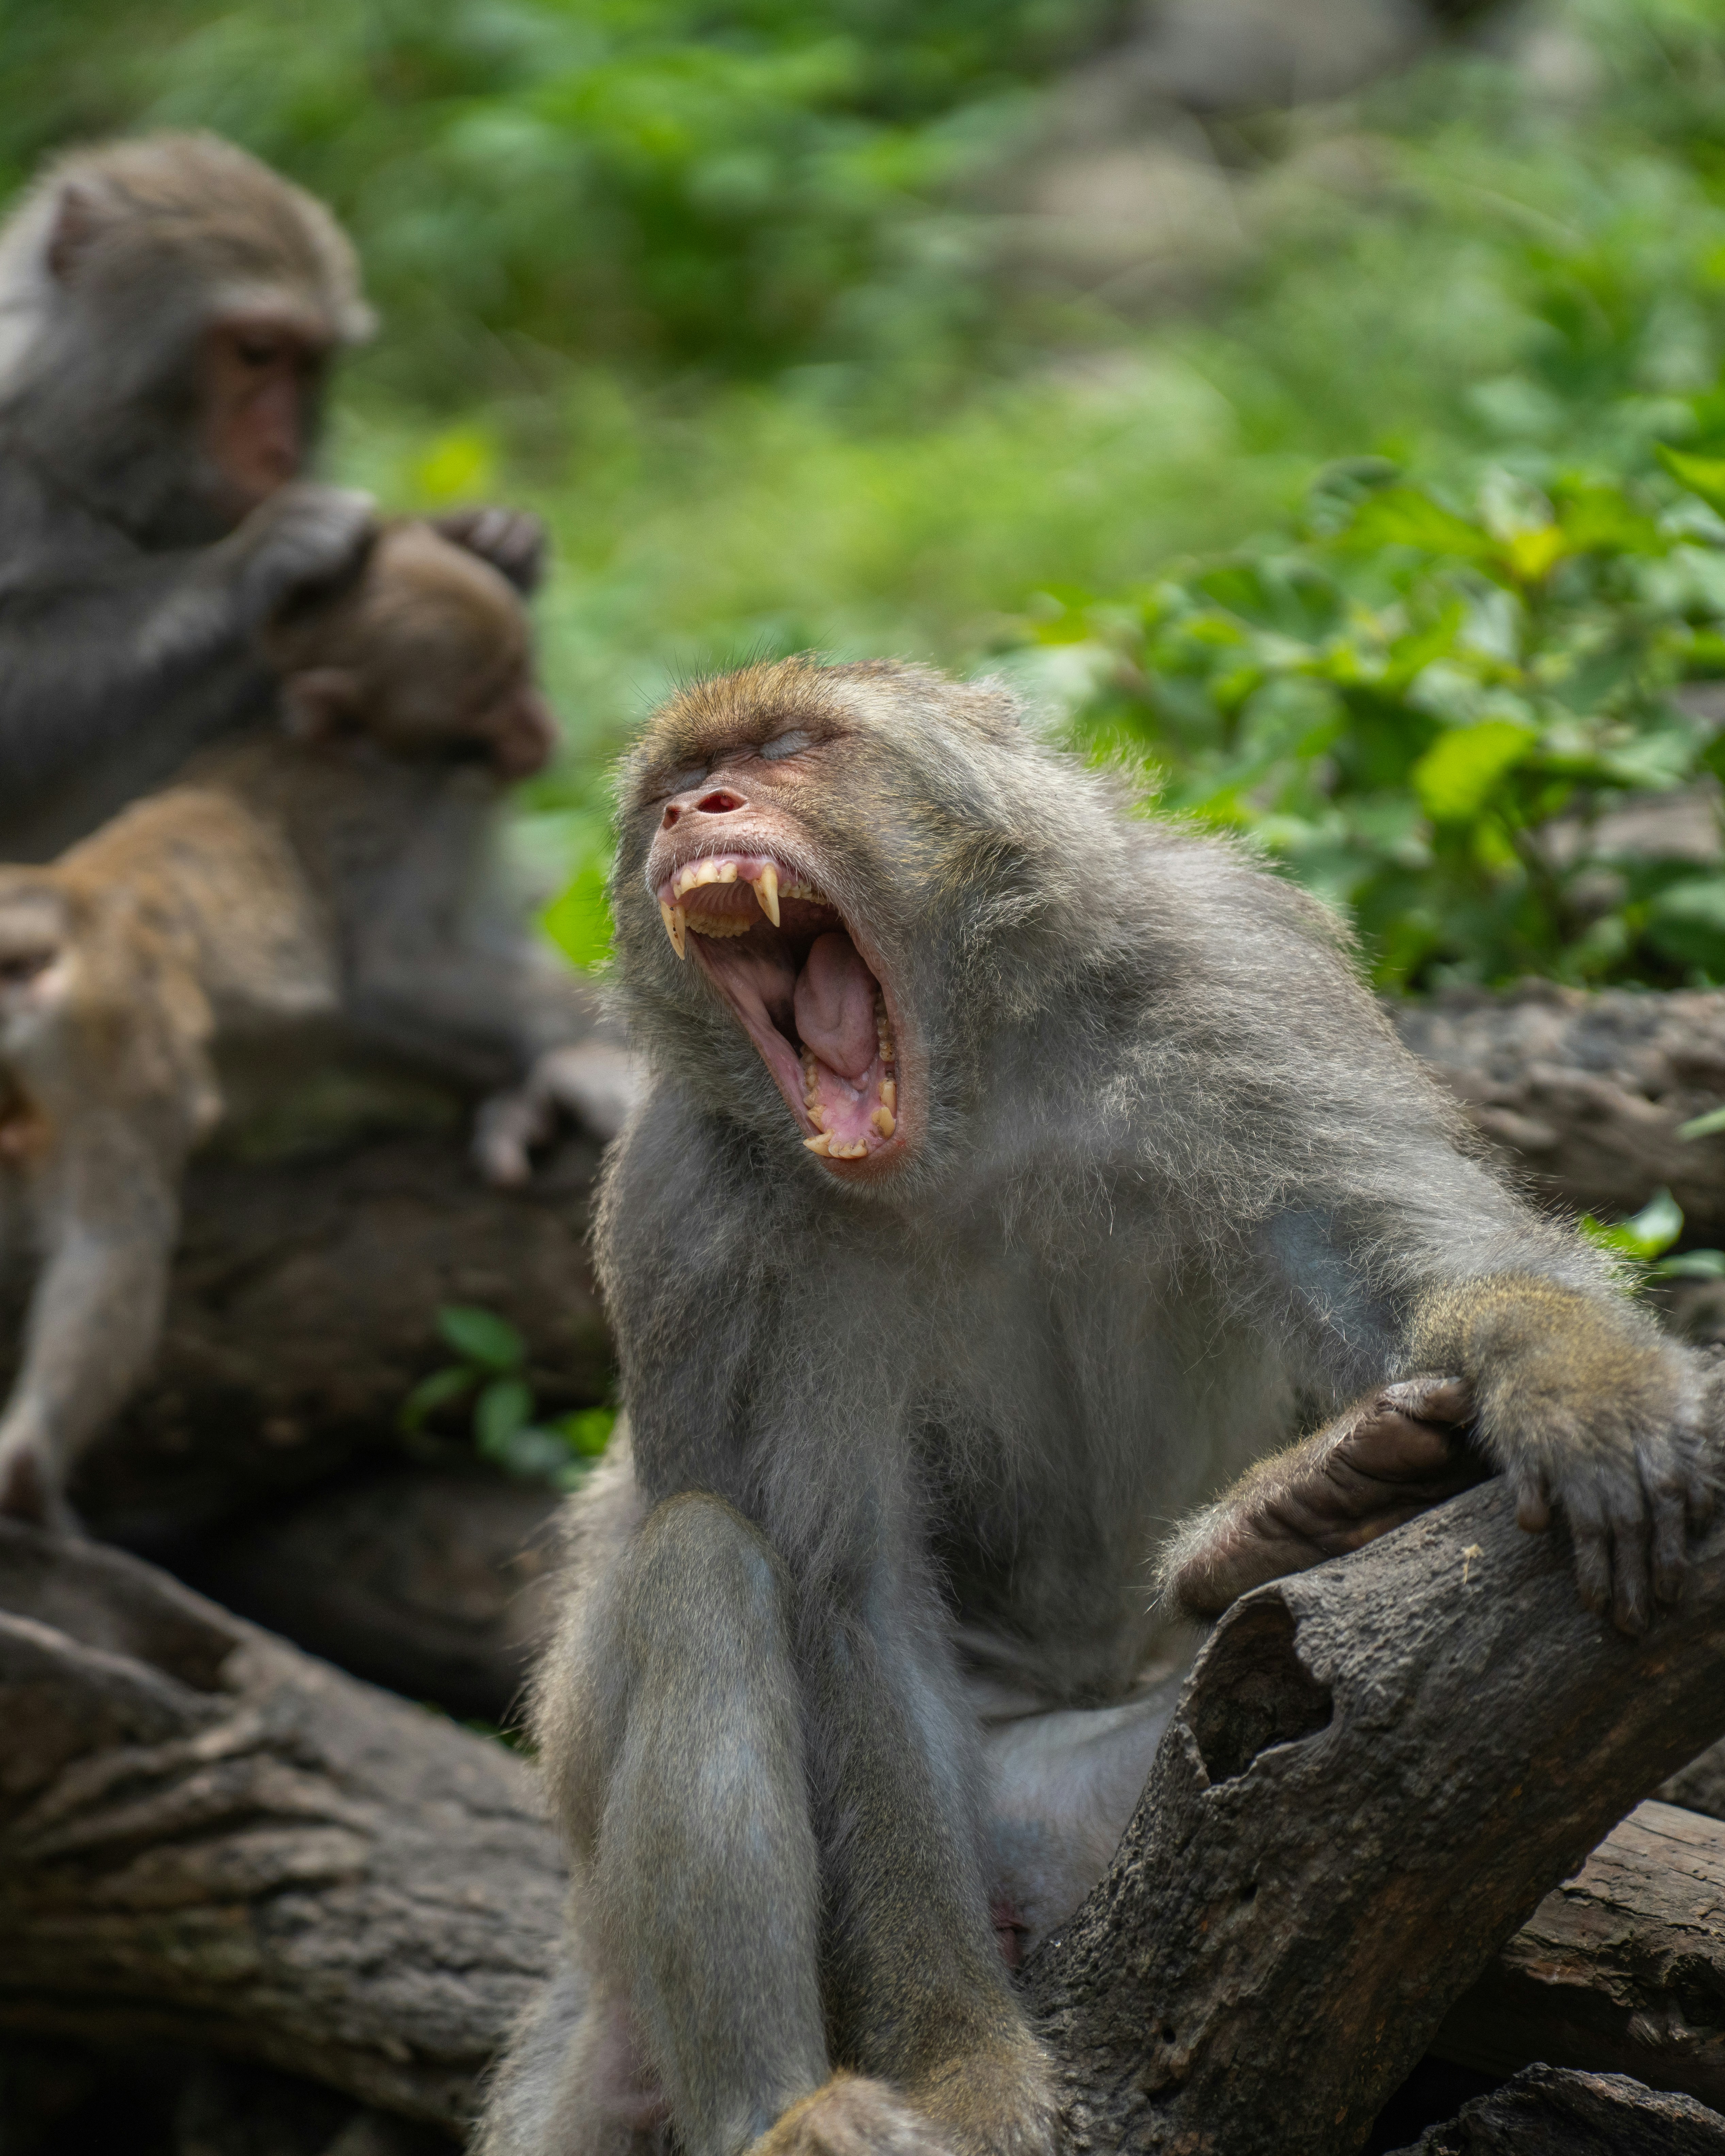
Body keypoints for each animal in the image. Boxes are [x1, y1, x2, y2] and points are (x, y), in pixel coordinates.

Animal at [0, 520, 635, 1529]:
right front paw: (577, 1056)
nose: (541, 729)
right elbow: (387, 976)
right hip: (119, 1040)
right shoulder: (415, 820)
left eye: (525, 671)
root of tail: (66, 899)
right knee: (117, 1237)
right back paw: (31, 1462)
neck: (371, 756)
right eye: (490, 699)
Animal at [474, 655, 1715, 2156]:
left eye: (783, 748)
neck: (964, 1102)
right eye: (673, 782)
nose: (693, 811)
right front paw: (964, 2062)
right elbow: (849, 1603)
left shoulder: (1232, 982)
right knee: (700, 1565)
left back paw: (1300, 1516)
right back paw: (782, 2113)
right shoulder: (693, 1214)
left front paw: (1577, 1386)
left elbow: (1425, 1260)